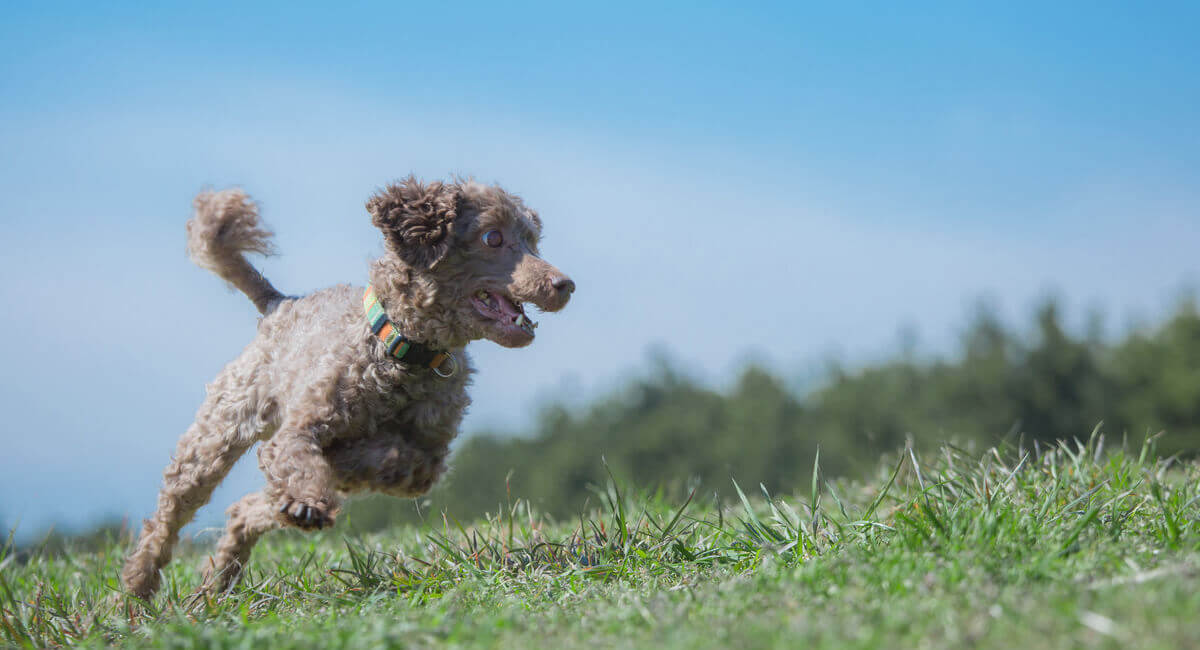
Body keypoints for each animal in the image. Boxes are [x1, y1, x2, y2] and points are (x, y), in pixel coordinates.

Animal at [121, 179, 576, 602]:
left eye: (533, 240)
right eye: (492, 238)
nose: (565, 285)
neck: (403, 353)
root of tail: (279, 303)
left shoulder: (426, 460)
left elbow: (391, 459)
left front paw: (329, 474)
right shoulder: (300, 430)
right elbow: (300, 459)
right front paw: (308, 494)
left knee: (245, 510)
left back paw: (222, 573)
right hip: (219, 430)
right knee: (168, 515)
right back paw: (136, 595)